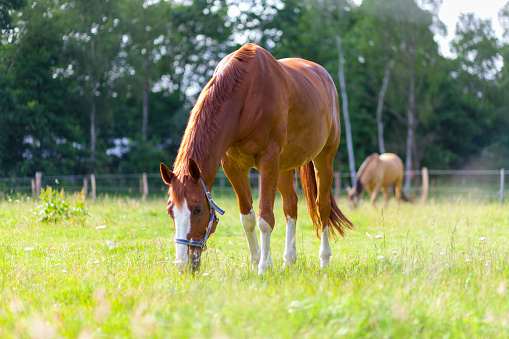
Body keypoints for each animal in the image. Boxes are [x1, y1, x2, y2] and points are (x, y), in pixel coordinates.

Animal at [161, 43, 352, 274]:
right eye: (170, 211)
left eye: (197, 209)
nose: (183, 264)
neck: (245, 97)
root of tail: (323, 76)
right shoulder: (233, 166)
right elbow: (248, 218)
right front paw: (258, 262)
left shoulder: (268, 160)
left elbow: (264, 218)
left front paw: (262, 268)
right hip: (284, 167)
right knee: (291, 205)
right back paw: (289, 260)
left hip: (324, 159)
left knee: (322, 206)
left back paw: (324, 260)